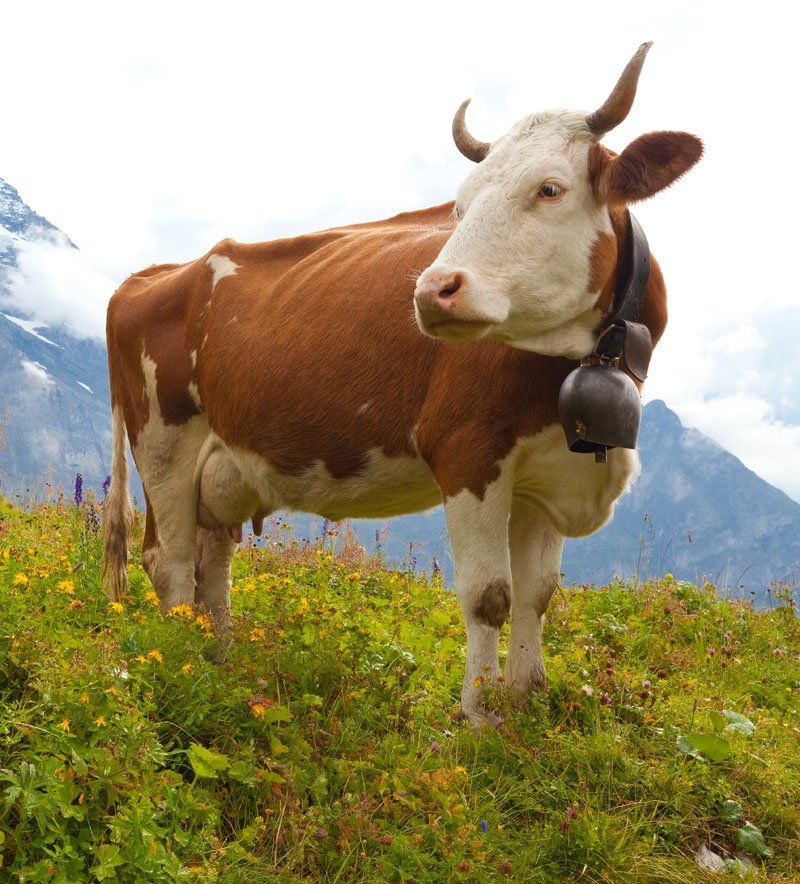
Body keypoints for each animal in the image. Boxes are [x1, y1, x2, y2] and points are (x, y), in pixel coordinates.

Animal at [103, 44, 702, 726]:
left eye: (550, 188)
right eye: (460, 206)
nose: (432, 290)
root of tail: (157, 272)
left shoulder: (547, 472)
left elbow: (538, 595)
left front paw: (526, 704)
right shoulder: (468, 452)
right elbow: (488, 596)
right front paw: (480, 720)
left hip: (223, 464)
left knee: (213, 560)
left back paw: (218, 663)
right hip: (163, 445)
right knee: (170, 561)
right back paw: (179, 662)